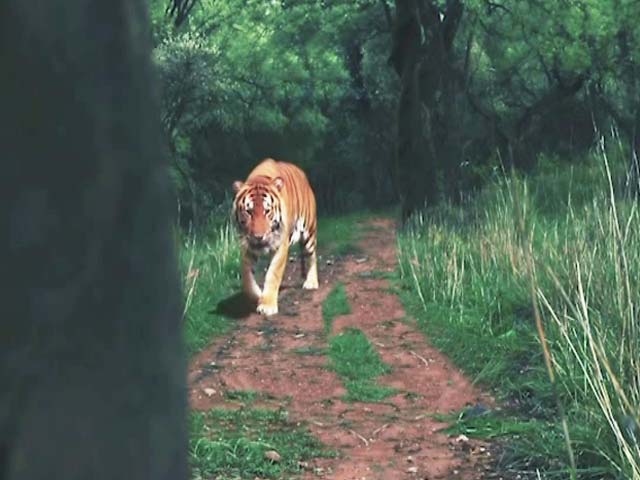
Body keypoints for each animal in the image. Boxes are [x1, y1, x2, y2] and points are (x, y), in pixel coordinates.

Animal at [232, 158, 318, 316]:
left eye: (267, 211)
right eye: (248, 211)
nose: (258, 236)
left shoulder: (280, 246)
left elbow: (273, 274)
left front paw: (267, 305)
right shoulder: (246, 246)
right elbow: (247, 279)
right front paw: (258, 296)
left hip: (309, 231)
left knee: (312, 256)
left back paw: (311, 282)